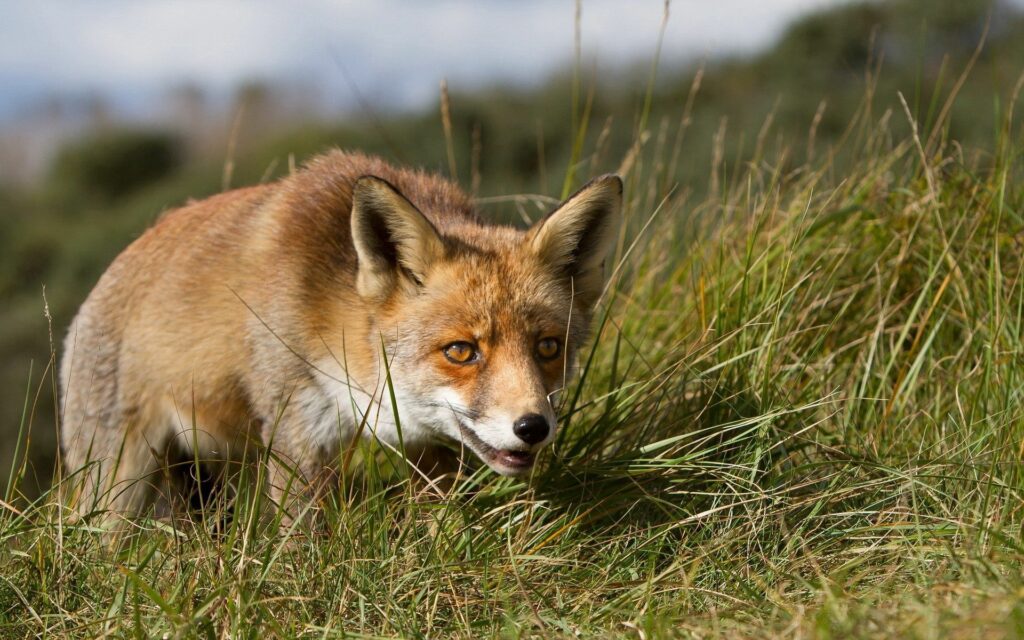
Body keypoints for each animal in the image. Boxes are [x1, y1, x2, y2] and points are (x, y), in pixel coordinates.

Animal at [59, 150, 622, 521]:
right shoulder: (295, 430)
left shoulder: (427, 448)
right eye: (461, 351)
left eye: (547, 347)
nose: (533, 427)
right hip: (119, 482)